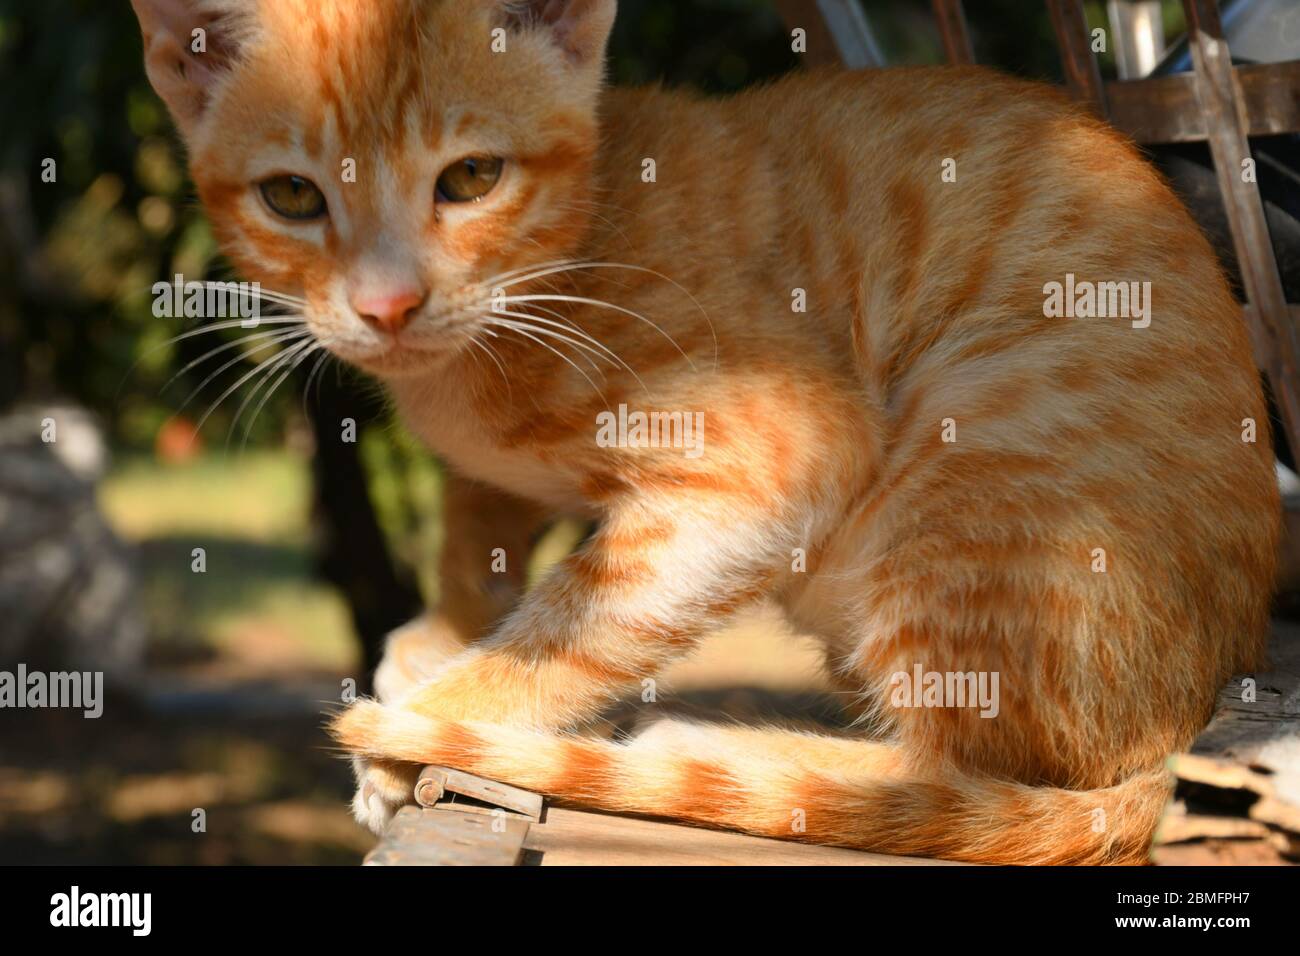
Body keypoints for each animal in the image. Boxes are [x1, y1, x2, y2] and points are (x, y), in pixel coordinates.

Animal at [134, 0, 1279, 868]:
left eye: (470, 178)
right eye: (291, 196)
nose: (387, 306)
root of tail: (1181, 728)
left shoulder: (776, 451)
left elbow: (571, 623)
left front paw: (430, 719)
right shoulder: (494, 461)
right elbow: (477, 517)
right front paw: (438, 631)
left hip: (980, 465)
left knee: (964, 774)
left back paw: (704, 744)